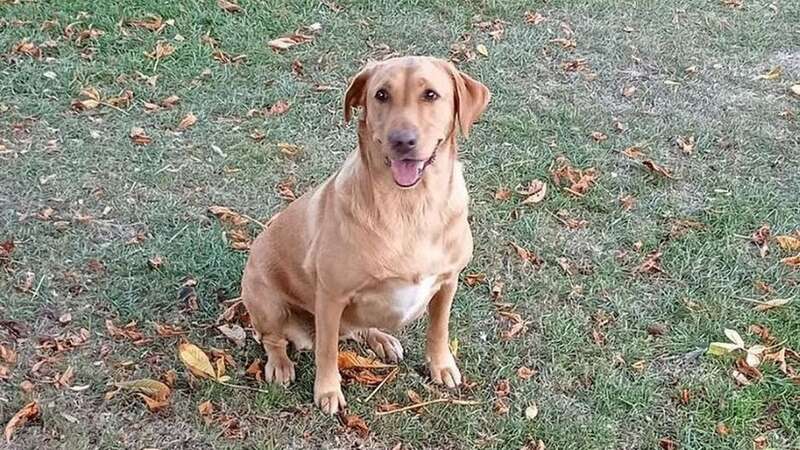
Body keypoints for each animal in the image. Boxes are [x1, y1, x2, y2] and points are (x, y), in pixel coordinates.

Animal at [239, 56, 488, 414]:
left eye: (430, 94)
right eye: (381, 94)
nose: (402, 140)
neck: (411, 206)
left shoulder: (448, 281)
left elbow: (439, 329)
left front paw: (441, 366)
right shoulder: (331, 296)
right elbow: (327, 349)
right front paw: (328, 391)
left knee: (358, 328)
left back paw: (381, 339)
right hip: (267, 301)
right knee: (274, 339)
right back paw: (281, 364)